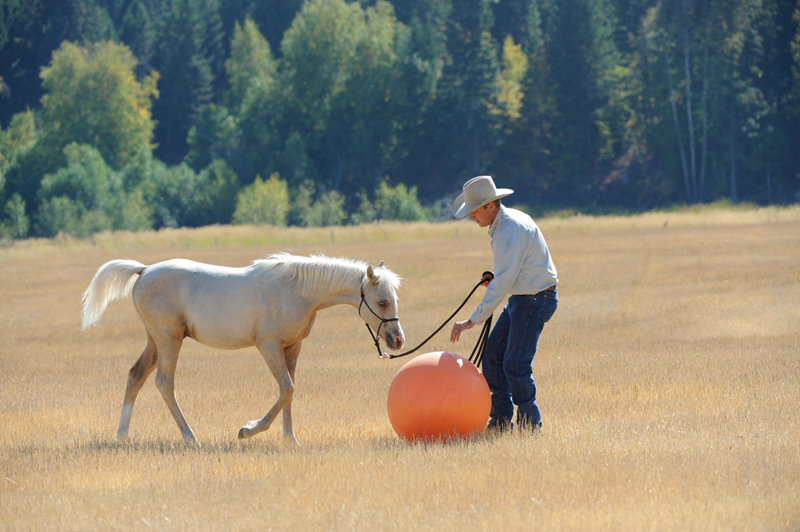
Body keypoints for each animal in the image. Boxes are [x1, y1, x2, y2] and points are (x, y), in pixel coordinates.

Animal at [81, 253, 405, 446]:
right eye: (382, 302)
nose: (398, 340)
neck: (296, 291)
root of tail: (144, 270)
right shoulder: (269, 346)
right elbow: (286, 389)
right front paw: (248, 430)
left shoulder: (292, 347)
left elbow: (290, 391)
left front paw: (291, 440)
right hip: (169, 339)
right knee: (164, 382)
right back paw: (190, 438)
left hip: (155, 341)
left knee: (136, 375)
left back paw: (122, 436)